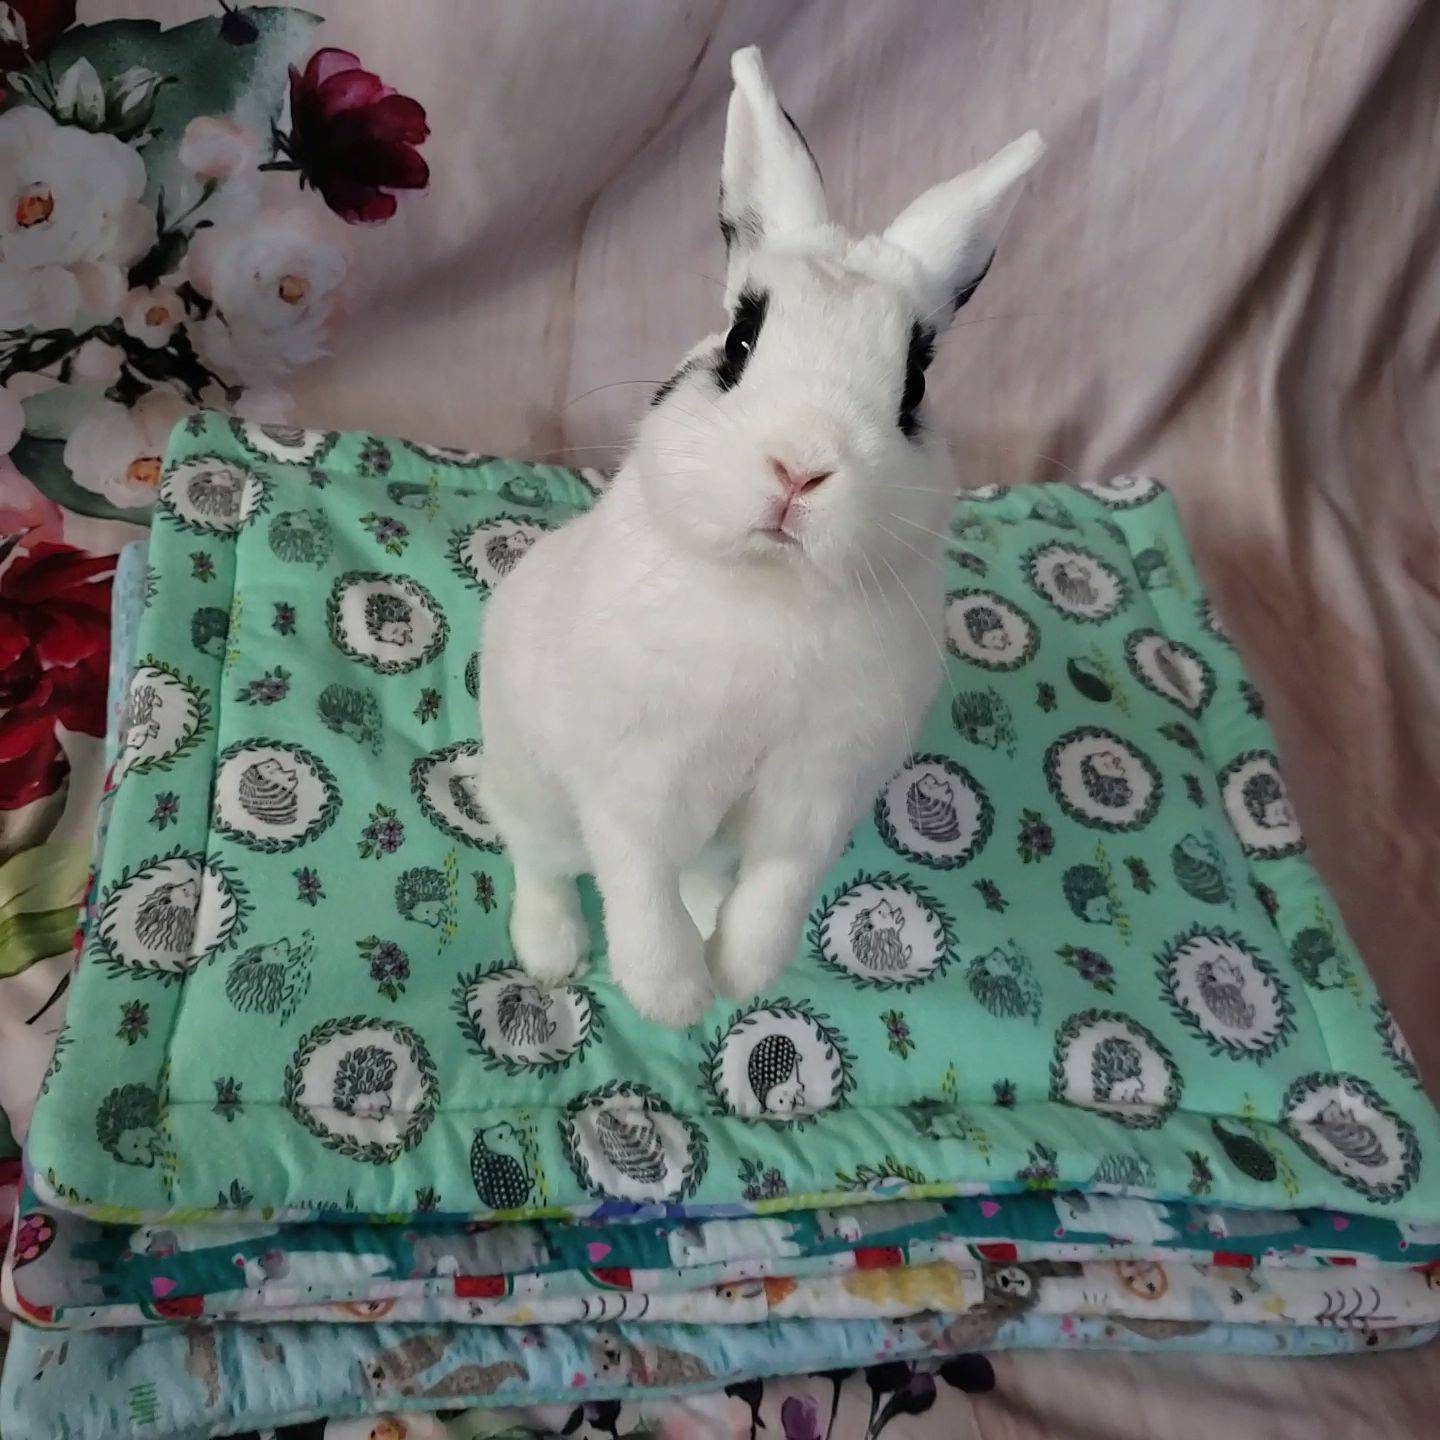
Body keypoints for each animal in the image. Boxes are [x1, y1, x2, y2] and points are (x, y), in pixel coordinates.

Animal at [481, 46, 1042, 1027]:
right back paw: (551, 957)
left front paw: (741, 978)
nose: (801, 468)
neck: (772, 590)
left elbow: (776, 888)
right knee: (542, 865)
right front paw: (670, 996)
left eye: (914, 387)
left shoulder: (816, 797)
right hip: (531, 789)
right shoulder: (635, 782)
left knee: (704, 876)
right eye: (740, 341)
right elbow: (637, 883)